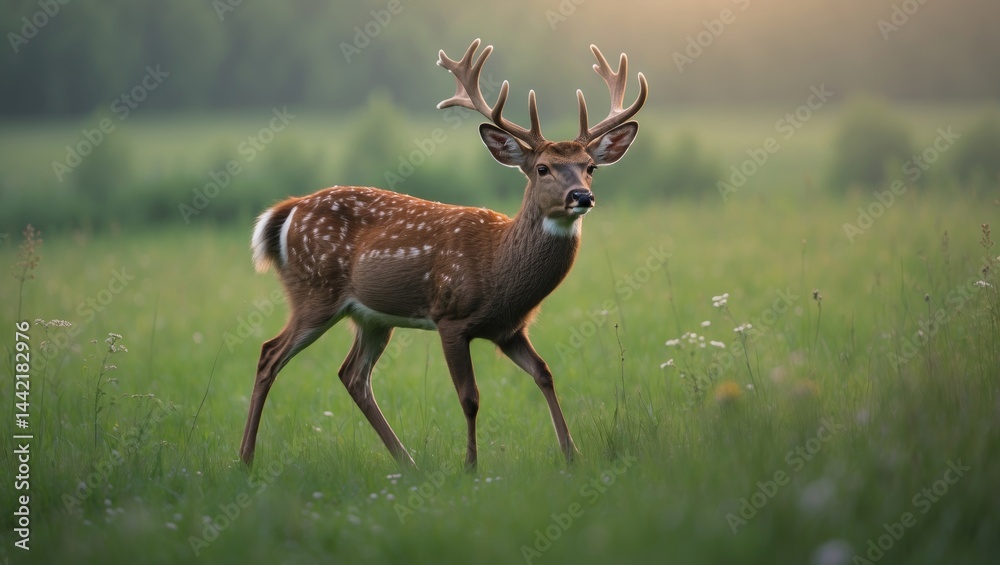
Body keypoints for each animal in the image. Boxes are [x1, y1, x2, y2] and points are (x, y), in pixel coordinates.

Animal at [239, 38, 647, 470]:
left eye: (590, 167)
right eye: (542, 168)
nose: (581, 196)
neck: (498, 268)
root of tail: (287, 211)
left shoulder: (509, 328)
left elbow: (545, 374)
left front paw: (572, 455)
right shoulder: (451, 317)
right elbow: (470, 397)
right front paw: (470, 466)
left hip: (371, 317)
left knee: (352, 375)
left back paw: (407, 462)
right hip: (314, 291)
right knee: (270, 354)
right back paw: (245, 458)